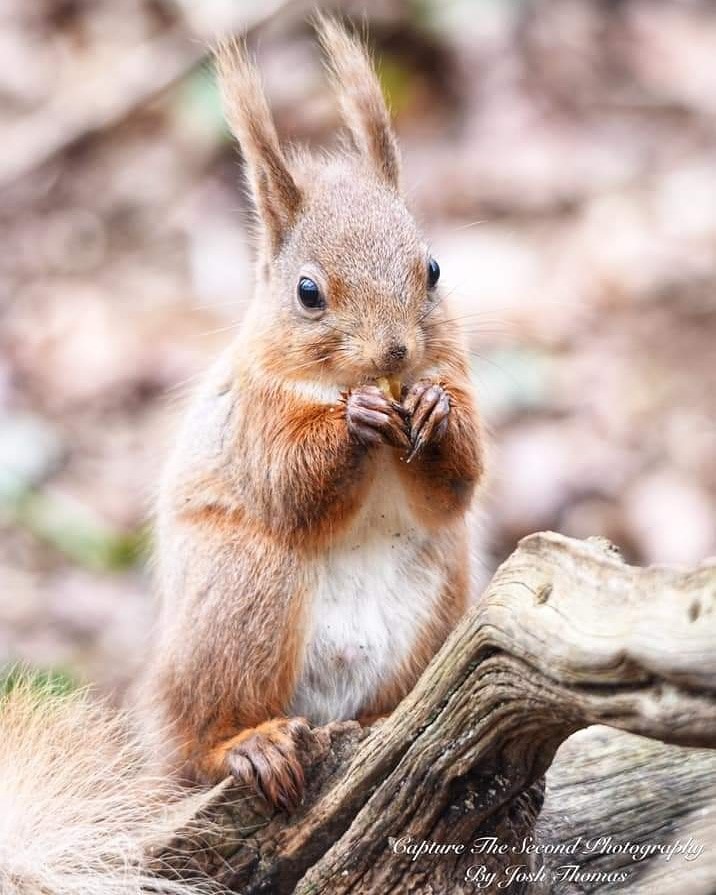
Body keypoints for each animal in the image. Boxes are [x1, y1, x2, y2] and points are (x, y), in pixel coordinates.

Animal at [0, 16, 484, 895]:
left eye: (433, 268)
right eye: (307, 292)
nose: (396, 354)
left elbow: (456, 485)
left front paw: (433, 412)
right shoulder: (255, 420)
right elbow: (292, 485)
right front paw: (358, 420)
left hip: (436, 605)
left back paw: (381, 722)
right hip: (245, 591)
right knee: (204, 739)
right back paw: (246, 745)